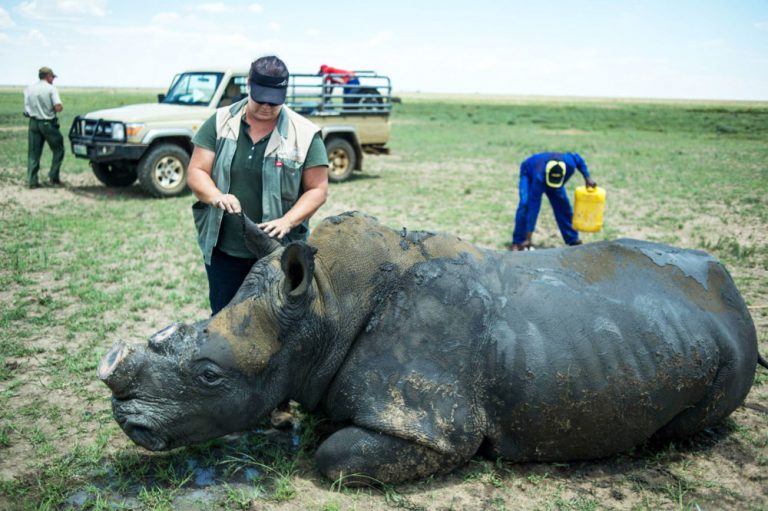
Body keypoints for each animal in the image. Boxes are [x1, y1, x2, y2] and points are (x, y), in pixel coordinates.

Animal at [98, 211, 765, 484]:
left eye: (209, 375)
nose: (125, 418)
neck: (322, 308)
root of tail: (735, 291)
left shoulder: (436, 424)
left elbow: (334, 456)